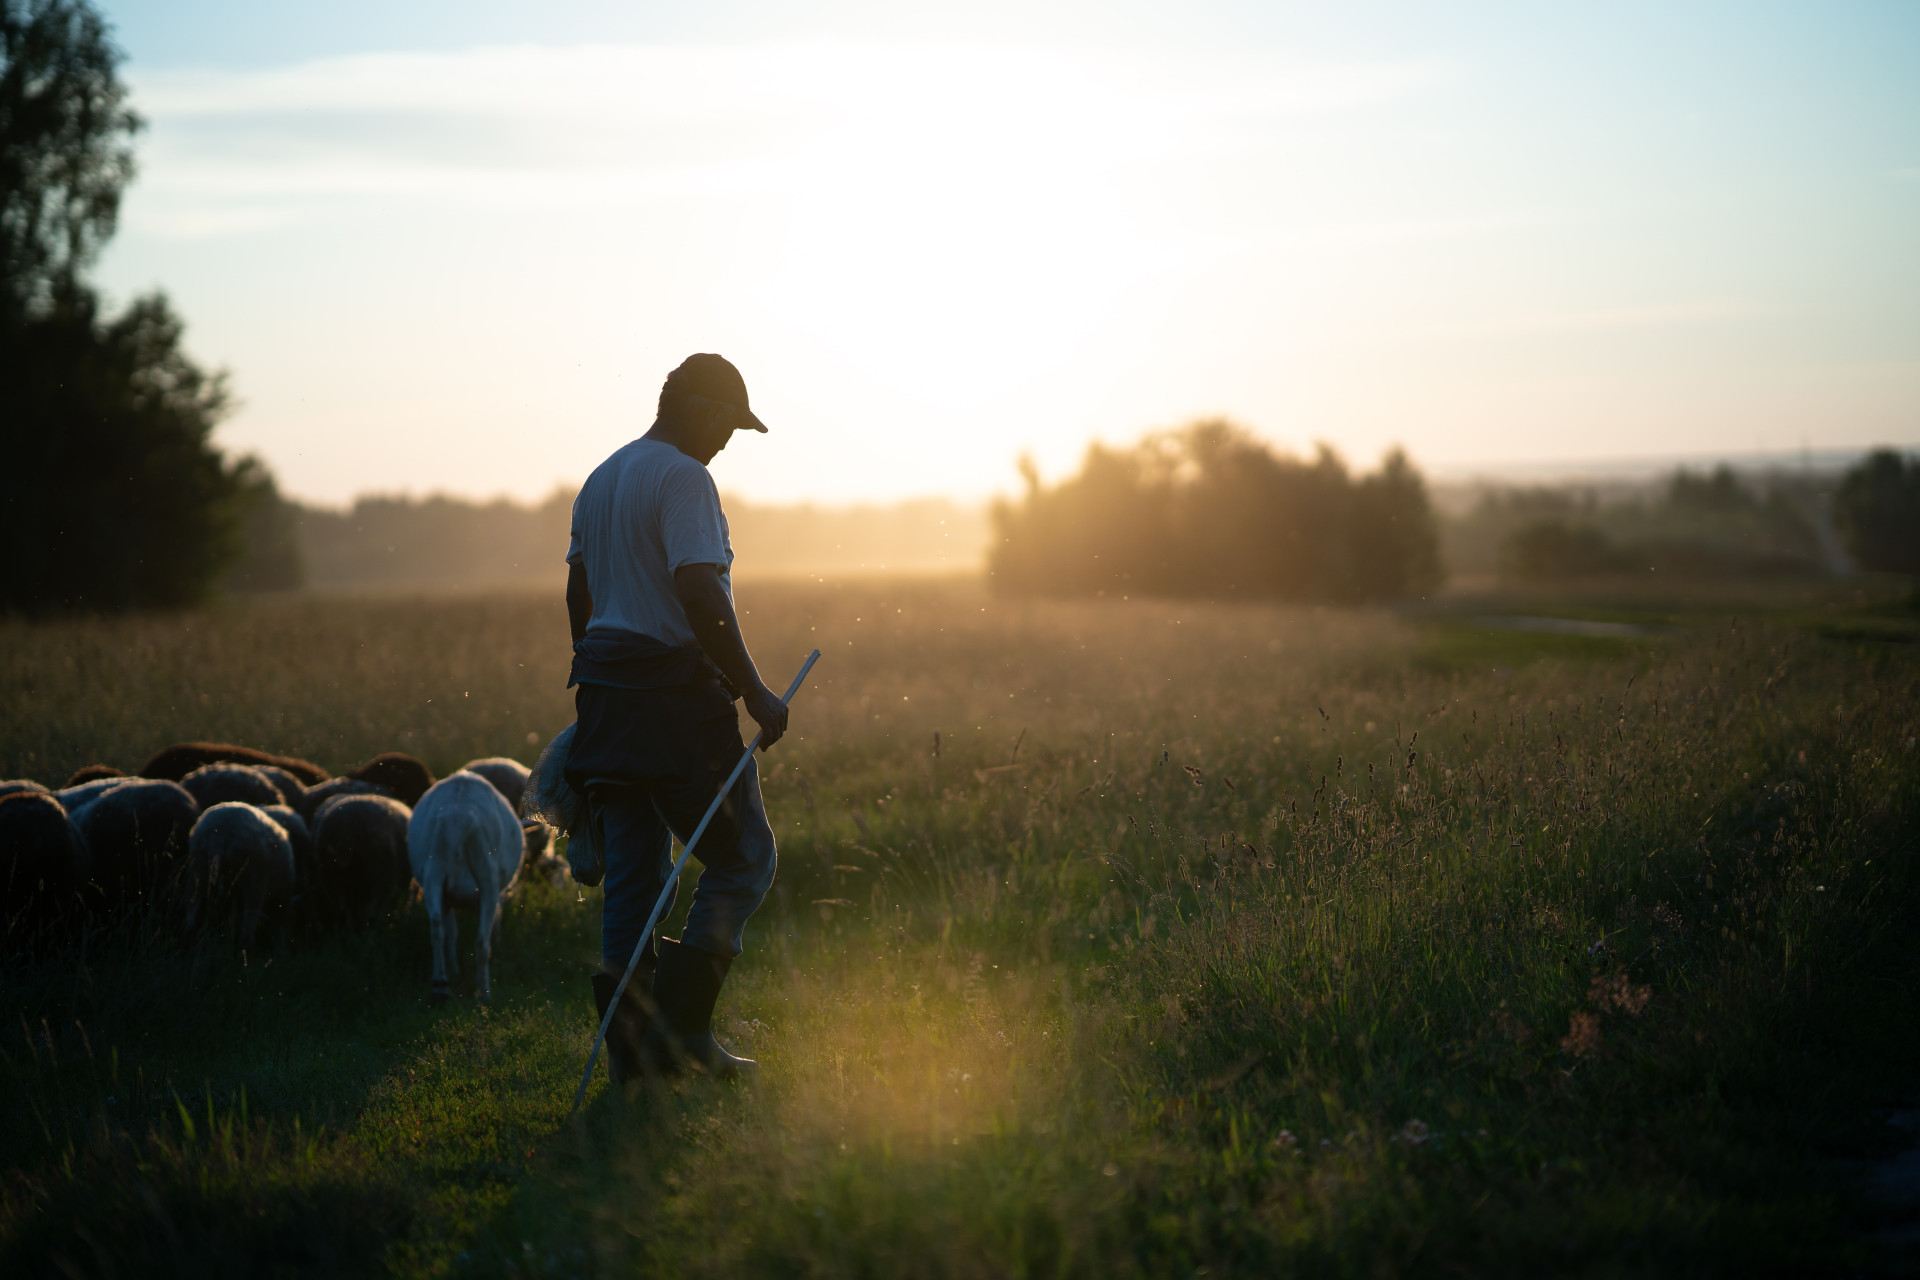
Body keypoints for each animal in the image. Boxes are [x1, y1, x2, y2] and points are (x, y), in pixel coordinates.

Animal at [407, 767, 526, 1005]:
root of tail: (458, 817)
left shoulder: (445, 898)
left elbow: (450, 934)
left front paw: (453, 971)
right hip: (487, 879)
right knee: (481, 941)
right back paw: (484, 992)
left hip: (434, 873)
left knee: (436, 931)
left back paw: (440, 986)